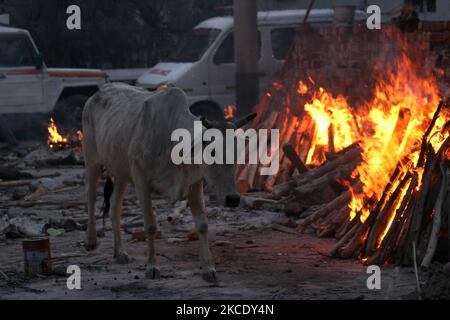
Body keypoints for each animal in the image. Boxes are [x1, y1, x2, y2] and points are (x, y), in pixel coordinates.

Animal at [81, 83, 253, 282]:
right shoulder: (141, 180)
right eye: (212, 151)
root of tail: (96, 94)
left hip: (121, 173)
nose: (232, 198)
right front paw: (151, 267)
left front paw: (208, 269)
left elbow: (202, 225)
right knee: (91, 196)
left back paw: (120, 253)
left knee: (115, 207)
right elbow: (150, 225)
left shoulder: (195, 183)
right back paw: (91, 240)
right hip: (92, 160)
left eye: (237, 152)